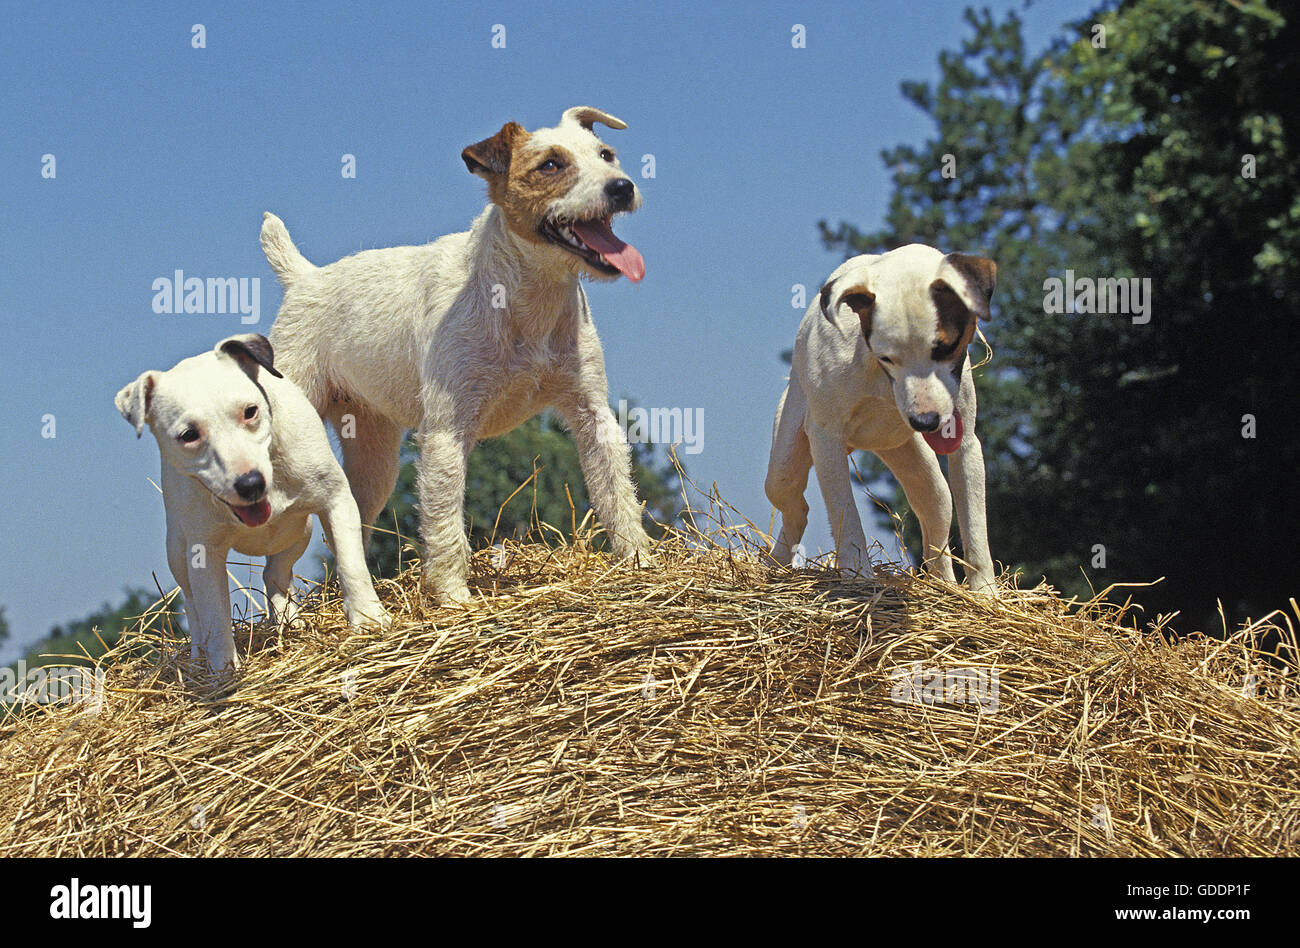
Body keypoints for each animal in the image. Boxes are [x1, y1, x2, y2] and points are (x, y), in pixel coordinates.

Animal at [116, 332, 387, 671]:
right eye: (189, 434)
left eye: (250, 411)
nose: (249, 484)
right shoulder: (204, 551)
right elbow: (214, 614)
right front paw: (223, 670)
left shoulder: (336, 500)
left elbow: (352, 565)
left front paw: (367, 619)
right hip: (178, 551)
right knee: (194, 606)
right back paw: (199, 654)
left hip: (299, 531)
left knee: (274, 573)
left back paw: (288, 619)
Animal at [260, 107, 655, 603]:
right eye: (551, 165)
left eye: (606, 155)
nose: (622, 186)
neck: (525, 293)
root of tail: (302, 278)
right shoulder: (448, 431)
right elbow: (446, 522)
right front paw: (454, 599)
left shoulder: (592, 415)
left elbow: (616, 494)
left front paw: (640, 562)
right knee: (274, 565)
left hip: (373, 461)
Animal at [764, 244, 998, 592]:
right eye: (887, 357)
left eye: (945, 347)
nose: (926, 422)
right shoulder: (826, 439)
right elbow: (844, 511)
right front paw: (858, 575)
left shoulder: (966, 443)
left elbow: (975, 525)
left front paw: (985, 592)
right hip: (785, 463)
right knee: (796, 507)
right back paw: (777, 564)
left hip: (915, 464)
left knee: (936, 516)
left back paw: (942, 583)